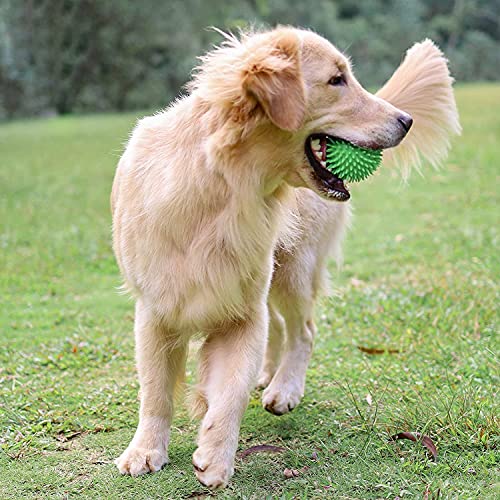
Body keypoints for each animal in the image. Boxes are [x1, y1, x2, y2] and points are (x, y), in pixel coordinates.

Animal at [111, 25, 458, 486]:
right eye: (337, 80)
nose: (406, 120)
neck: (223, 189)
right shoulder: (156, 313)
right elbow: (155, 393)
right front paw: (146, 450)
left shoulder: (240, 315)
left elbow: (230, 393)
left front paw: (215, 456)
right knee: (278, 326)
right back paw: (269, 374)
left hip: (293, 268)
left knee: (302, 330)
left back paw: (284, 388)